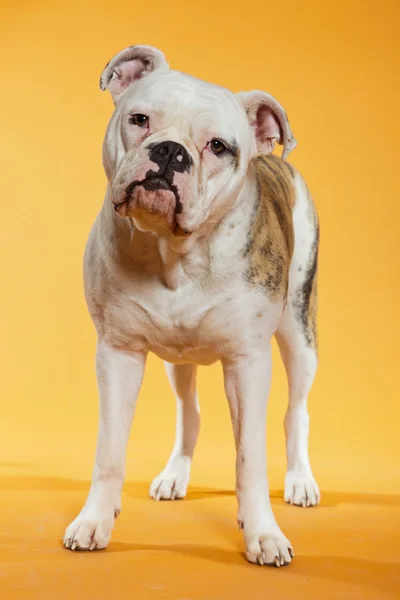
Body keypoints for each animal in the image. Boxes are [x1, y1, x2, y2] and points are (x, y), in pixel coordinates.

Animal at [63, 44, 318, 564]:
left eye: (217, 146)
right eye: (139, 119)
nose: (169, 151)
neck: (176, 252)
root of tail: (279, 163)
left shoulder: (248, 362)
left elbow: (249, 457)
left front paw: (262, 533)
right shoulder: (118, 354)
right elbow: (109, 452)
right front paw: (95, 520)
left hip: (300, 336)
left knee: (296, 410)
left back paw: (300, 480)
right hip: (176, 362)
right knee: (190, 412)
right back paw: (175, 475)